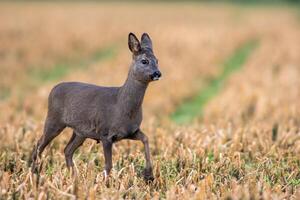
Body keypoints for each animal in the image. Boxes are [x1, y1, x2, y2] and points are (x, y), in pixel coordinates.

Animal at [30, 32, 161, 181]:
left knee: (67, 150)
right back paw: (34, 174)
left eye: (157, 60)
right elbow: (108, 165)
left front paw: (149, 175)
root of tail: (53, 88)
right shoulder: (105, 134)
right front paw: (106, 183)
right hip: (53, 119)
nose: (157, 73)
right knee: (39, 145)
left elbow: (146, 138)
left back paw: (74, 178)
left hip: (80, 132)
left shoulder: (131, 131)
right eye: (144, 61)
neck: (121, 105)